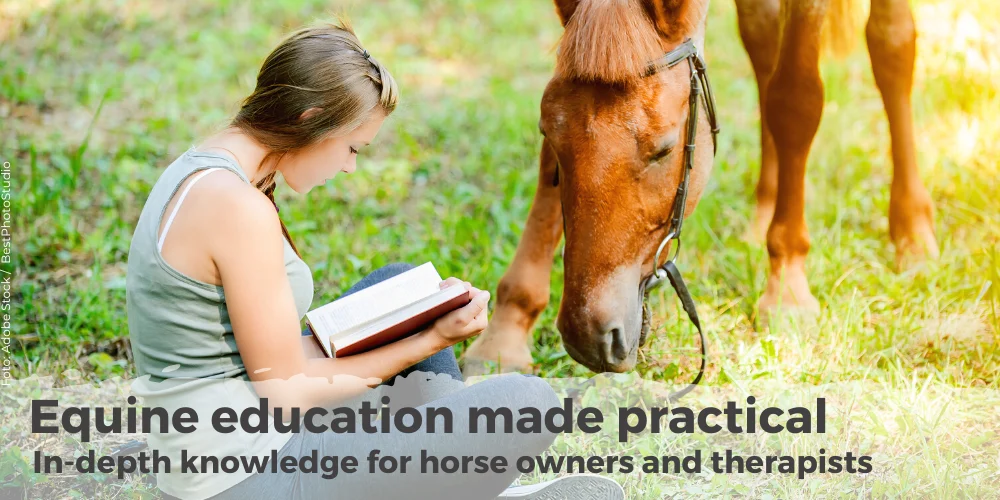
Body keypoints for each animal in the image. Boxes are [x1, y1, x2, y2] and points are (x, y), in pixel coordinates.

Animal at [463, 0, 937, 374]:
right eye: (549, 130)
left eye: (664, 149)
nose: (589, 335)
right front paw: (506, 331)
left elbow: (794, 102)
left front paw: (787, 287)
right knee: (762, 37)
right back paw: (762, 217)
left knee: (892, 43)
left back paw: (912, 232)